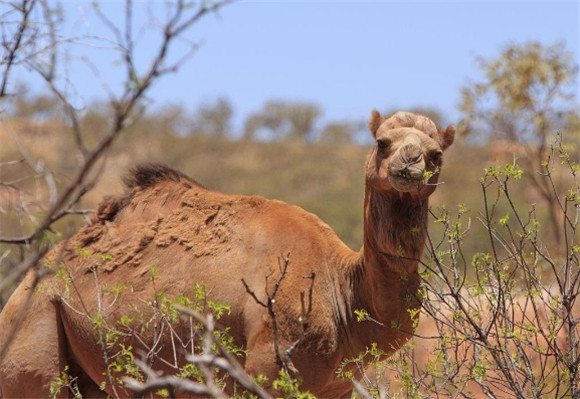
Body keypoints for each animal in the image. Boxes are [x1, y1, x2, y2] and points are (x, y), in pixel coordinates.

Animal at [0, 110, 454, 399]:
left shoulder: (336, 389)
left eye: (437, 154)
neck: (341, 285)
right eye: (382, 143)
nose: (410, 162)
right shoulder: (269, 367)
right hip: (34, 333)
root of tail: (26, 286)